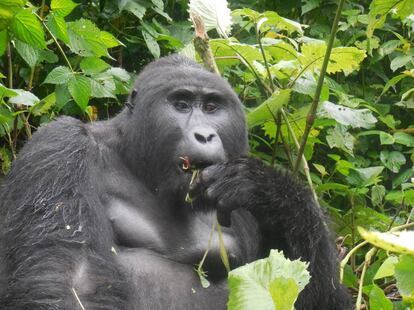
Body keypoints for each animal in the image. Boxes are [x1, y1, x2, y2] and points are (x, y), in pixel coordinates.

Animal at [0, 54, 350, 308]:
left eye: (211, 107)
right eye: (180, 105)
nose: (205, 135)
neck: (134, 157)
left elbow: (315, 295)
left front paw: (268, 191)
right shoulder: (60, 148)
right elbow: (73, 281)